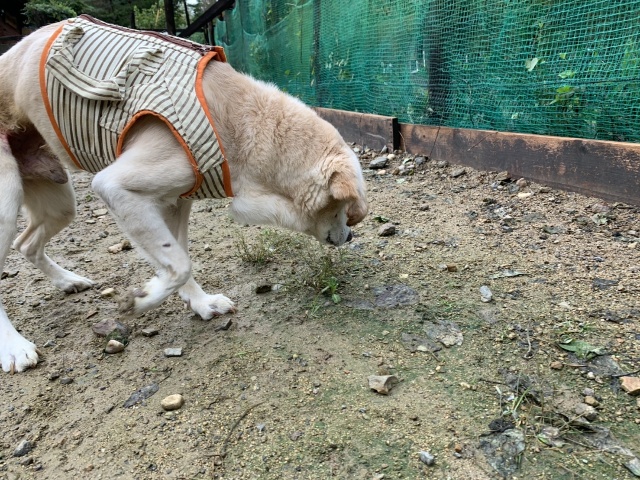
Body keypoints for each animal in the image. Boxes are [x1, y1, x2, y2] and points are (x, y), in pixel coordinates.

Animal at [0, 16, 367, 373]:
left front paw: (201, 304)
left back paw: (68, 282)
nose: (350, 237)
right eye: (345, 209)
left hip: (60, 202)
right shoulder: (117, 188)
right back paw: (15, 348)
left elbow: (179, 258)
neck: (242, 127)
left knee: (26, 243)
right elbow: (179, 263)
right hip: (7, 200)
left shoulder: (176, 202)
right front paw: (139, 301)